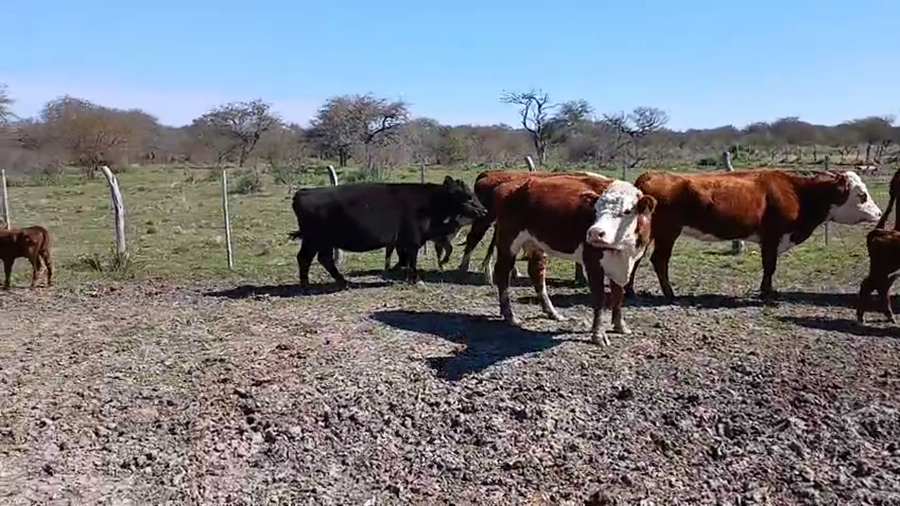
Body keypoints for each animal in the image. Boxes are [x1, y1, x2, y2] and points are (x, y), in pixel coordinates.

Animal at [287, 176, 487, 289]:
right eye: (468, 196)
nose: (484, 211)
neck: (430, 203)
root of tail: (302, 192)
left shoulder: (402, 241)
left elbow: (404, 258)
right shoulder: (413, 239)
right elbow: (411, 259)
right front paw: (415, 279)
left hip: (323, 241)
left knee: (322, 259)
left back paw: (342, 282)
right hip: (315, 239)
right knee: (306, 258)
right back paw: (307, 285)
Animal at [491, 173, 657, 346]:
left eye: (627, 211)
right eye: (596, 210)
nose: (595, 232)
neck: (624, 251)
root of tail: (508, 185)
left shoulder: (622, 265)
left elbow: (617, 296)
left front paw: (620, 326)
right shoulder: (593, 263)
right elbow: (600, 299)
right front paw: (598, 335)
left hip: (534, 243)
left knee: (537, 274)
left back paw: (552, 312)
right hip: (508, 241)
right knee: (502, 273)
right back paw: (509, 315)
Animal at [625, 169, 882, 301]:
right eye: (862, 195)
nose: (879, 213)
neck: (797, 192)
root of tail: (651, 175)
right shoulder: (772, 237)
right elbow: (770, 266)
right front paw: (767, 292)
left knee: (636, 259)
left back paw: (631, 291)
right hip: (668, 232)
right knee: (659, 260)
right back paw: (670, 293)